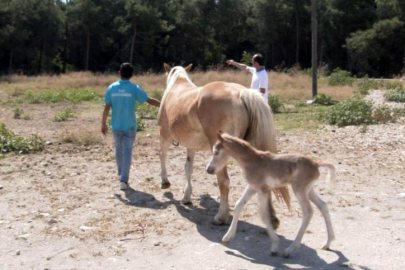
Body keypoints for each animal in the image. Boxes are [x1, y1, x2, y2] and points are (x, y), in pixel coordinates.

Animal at [156, 63, 288, 226]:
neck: (177, 83)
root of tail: (241, 93)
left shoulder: (165, 135)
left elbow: (162, 155)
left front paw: (165, 182)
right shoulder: (191, 146)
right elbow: (188, 168)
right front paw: (186, 196)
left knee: (223, 180)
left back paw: (221, 217)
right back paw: (271, 218)